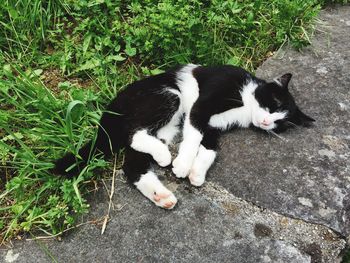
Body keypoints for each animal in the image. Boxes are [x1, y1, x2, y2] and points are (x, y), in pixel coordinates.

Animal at [54, 64, 314, 210]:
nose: (267, 122)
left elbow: (209, 149)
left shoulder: (214, 128)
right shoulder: (204, 102)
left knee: (133, 163)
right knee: (133, 132)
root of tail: (111, 108)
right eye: (274, 104)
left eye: (281, 123)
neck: (246, 100)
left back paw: (160, 195)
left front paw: (197, 173)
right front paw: (183, 165)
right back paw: (163, 157)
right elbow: (194, 136)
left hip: (165, 129)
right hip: (167, 95)